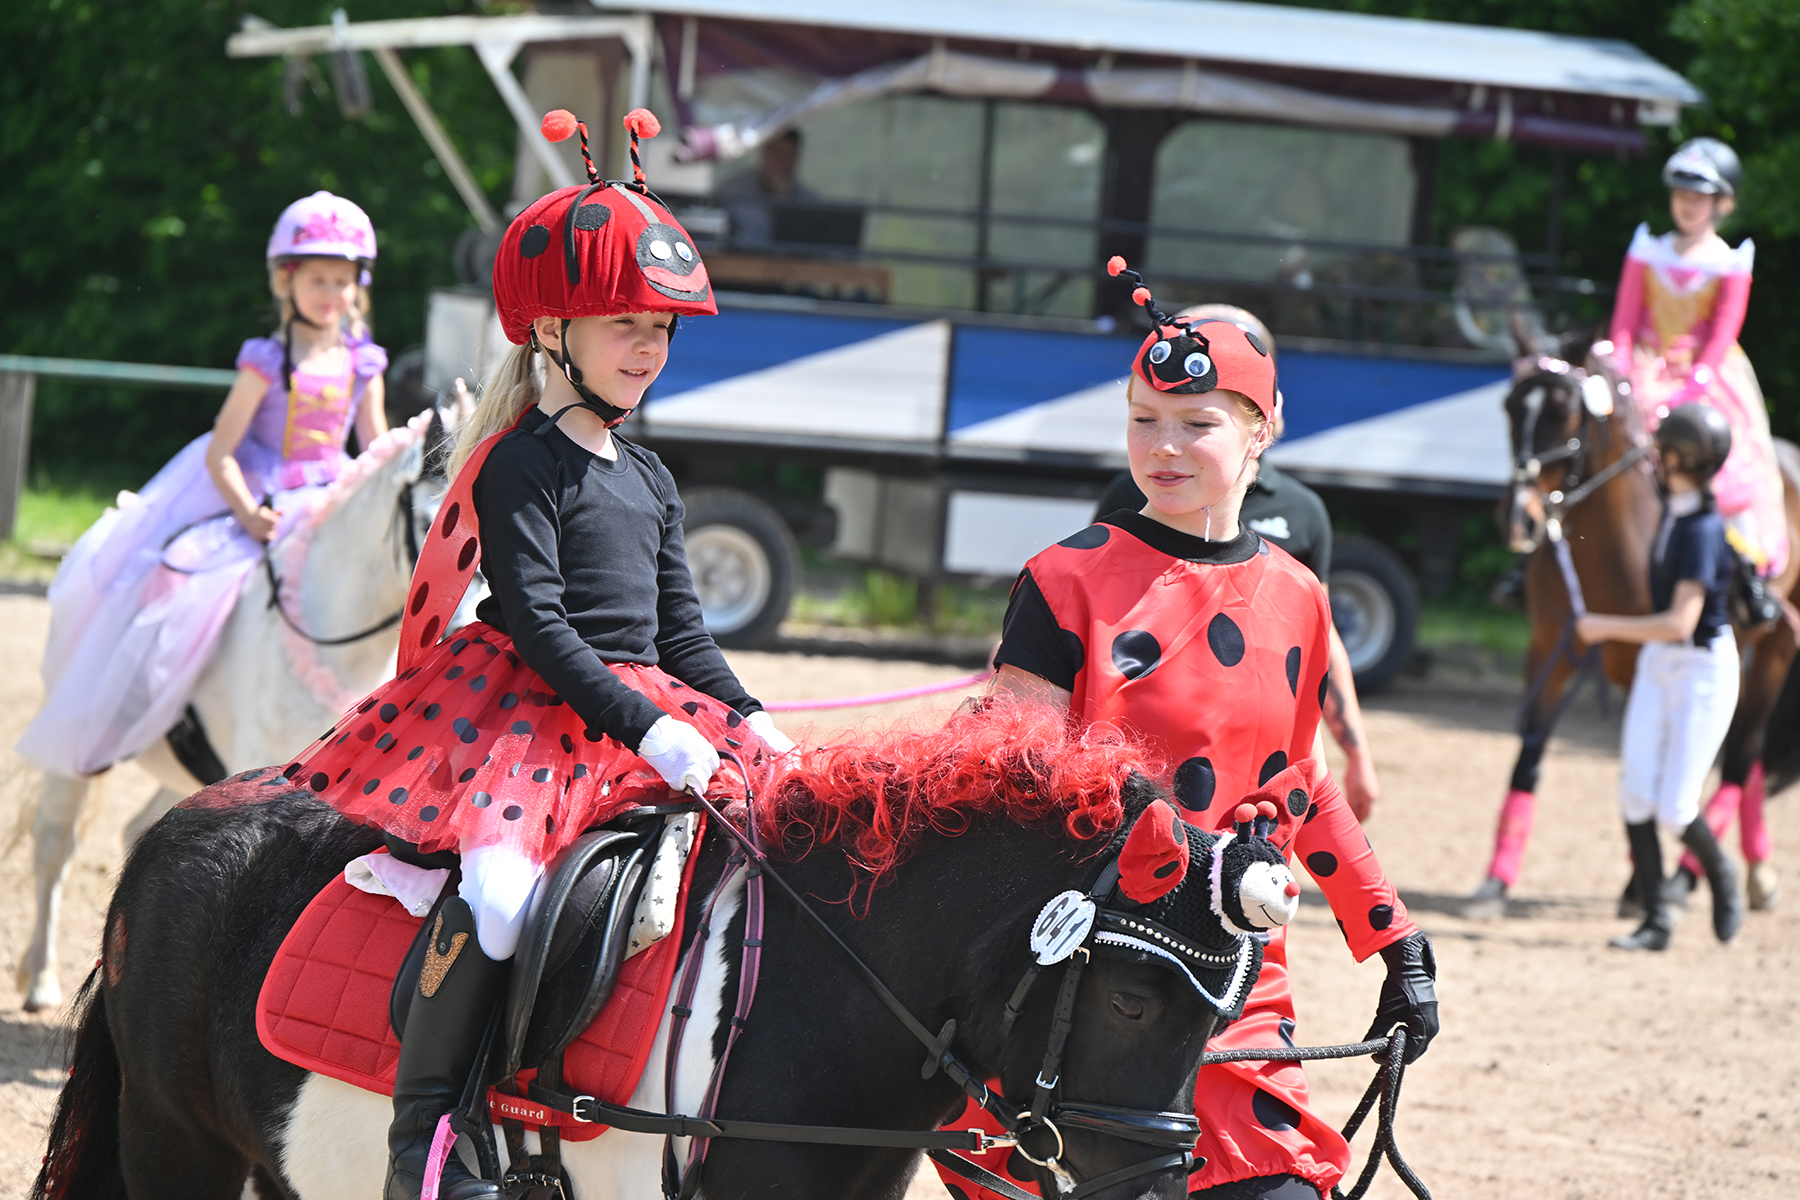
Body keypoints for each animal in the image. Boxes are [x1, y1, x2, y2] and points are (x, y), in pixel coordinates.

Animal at [1464, 332, 1798, 918]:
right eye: (1510, 407)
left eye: (1566, 411)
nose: (1518, 518)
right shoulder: (1551, 650)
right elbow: (1530, 757)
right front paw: (1495, 883)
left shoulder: (1645, 665)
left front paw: (1641, 888)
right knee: (1744, 758)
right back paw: (1754, 873)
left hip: (1773, 649)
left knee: (1740, 756)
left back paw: (1688, 879)